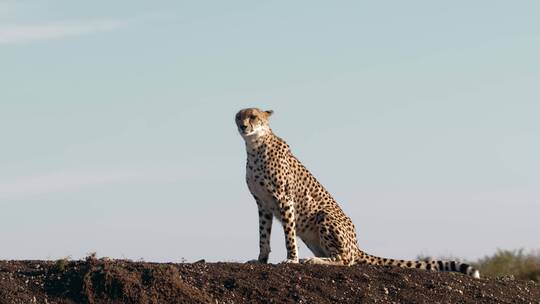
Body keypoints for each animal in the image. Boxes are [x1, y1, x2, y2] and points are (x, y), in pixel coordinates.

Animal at [234, 107, 478, 278]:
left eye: (253, 116)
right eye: (238, 116)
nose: (243, 126)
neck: (255, 146)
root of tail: (357, 245)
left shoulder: (285, 200)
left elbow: (288, 236)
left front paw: (292, 260)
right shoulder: (263, 204)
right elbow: (263, 235)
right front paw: (260, 260)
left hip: (323, 215)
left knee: (346, 260)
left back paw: (314, 261)